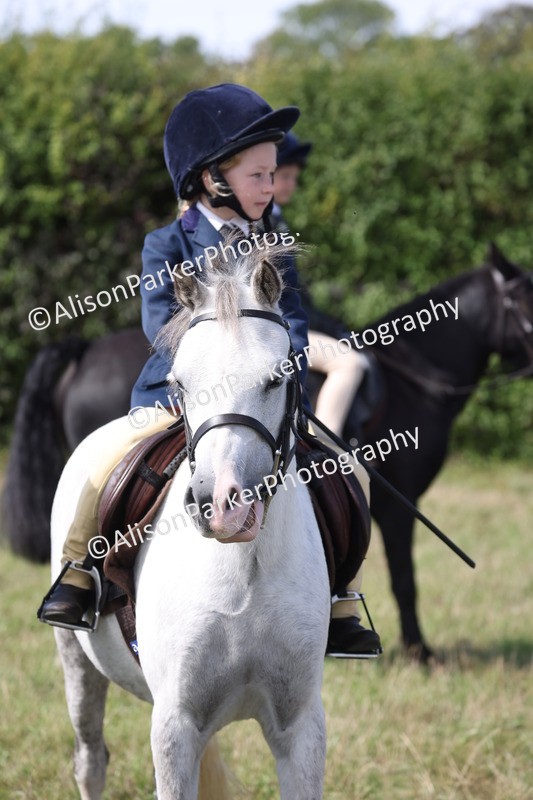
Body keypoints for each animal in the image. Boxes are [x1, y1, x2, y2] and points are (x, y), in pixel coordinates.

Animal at [4, 243, 533, 660]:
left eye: (279, 378)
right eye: (527, 302)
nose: (218, 502)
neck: (418, 377)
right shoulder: (399, 503)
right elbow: (406, 579)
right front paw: (421, 652)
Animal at [47, 246, 331, 799]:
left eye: (277, 378)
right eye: (179, 384)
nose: (221, 506)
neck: (244, 568)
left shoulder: (300, 725)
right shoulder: (175, 725)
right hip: (76, 660)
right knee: (89, 758)